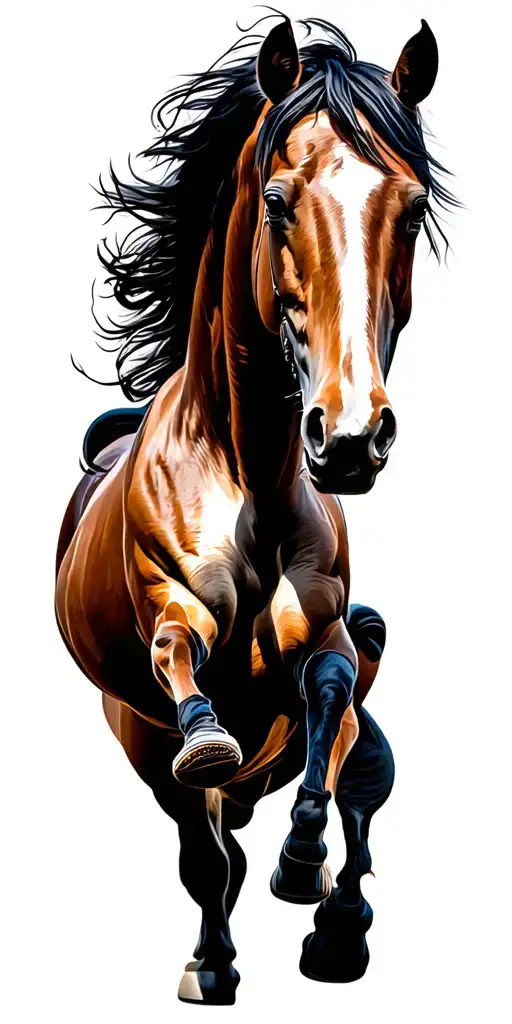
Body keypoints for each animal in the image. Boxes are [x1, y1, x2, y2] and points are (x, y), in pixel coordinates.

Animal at [55, 15, 455, 1005]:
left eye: (411, 207)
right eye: (277, 201)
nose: (348, 437)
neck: (258, 486)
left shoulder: (334, 634)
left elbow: (332, 683)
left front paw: (304, 856)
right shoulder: (170, 619)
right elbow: (181, 658)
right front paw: (209, 736)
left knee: (358, 784)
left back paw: (335, 922)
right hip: (141, 745)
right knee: (208, 852)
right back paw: (213, 962)